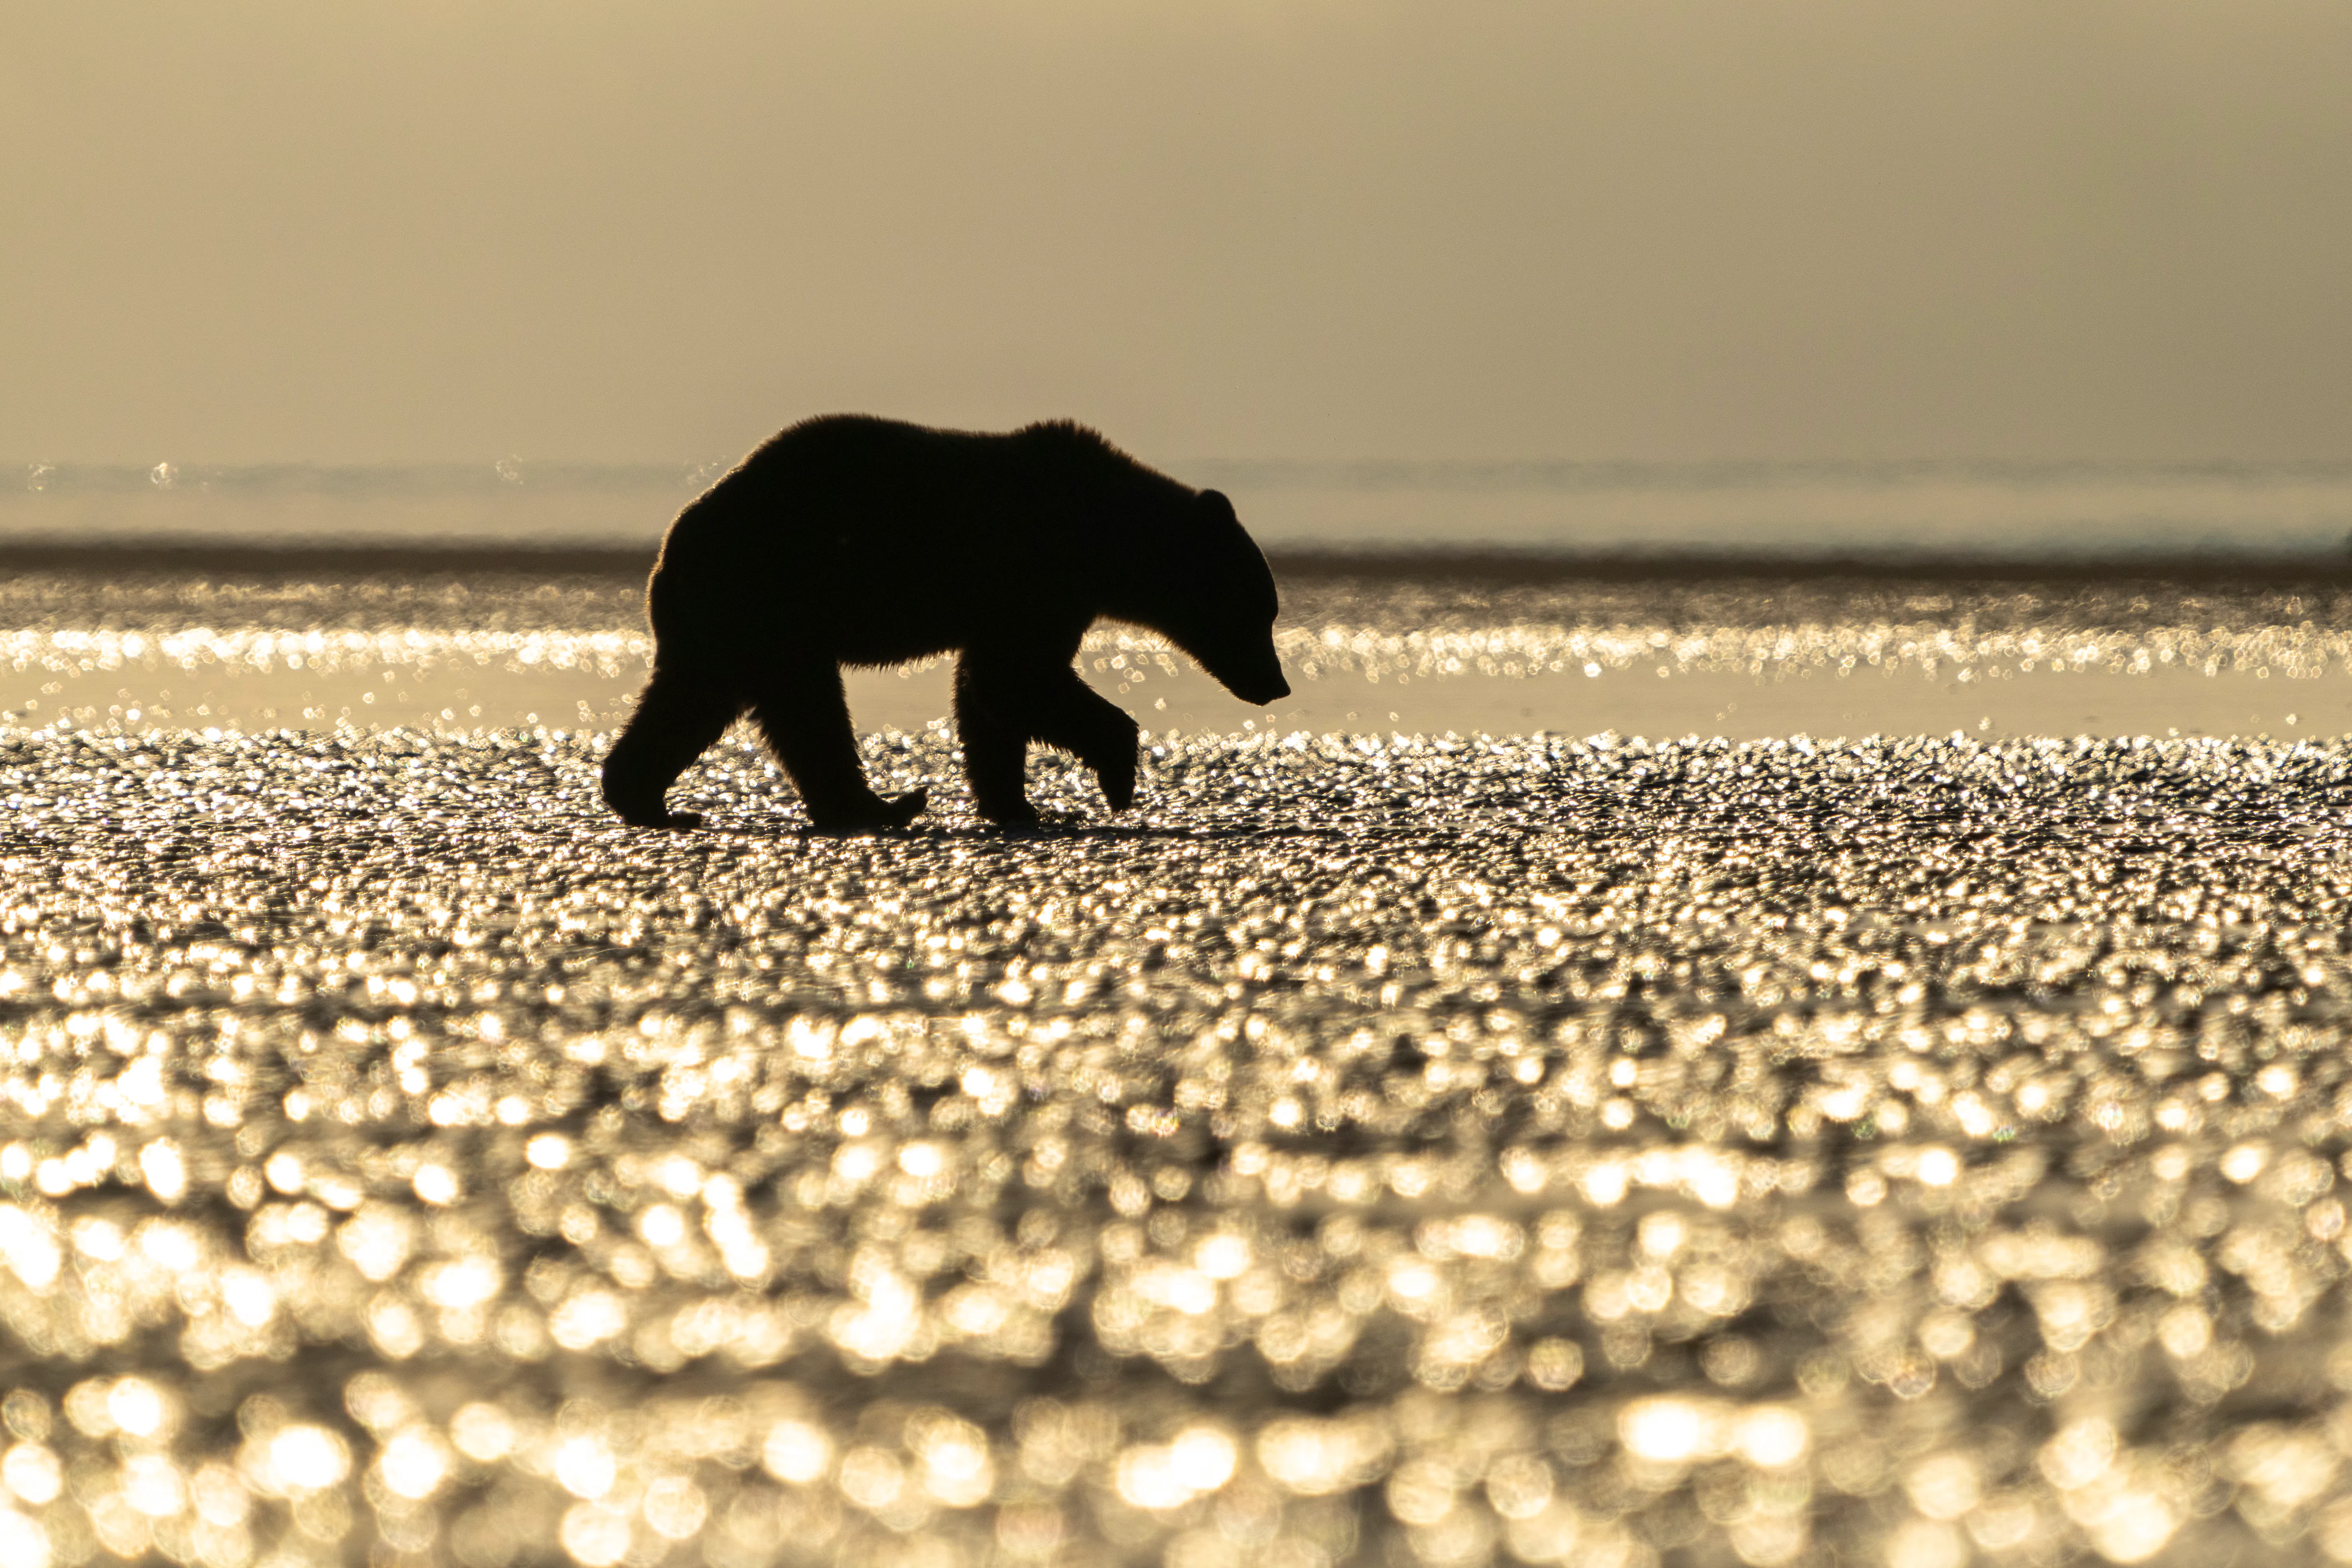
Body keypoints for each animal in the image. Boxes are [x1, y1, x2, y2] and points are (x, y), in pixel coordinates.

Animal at [599, 414, 1289, 832]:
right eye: (1259, 612)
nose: (1277, 684)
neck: (1104, 540)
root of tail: (668, 550)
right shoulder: (1036, 577)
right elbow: (1015, 680)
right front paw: (1116, 776)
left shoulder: (1020, 602)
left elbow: (988, 696)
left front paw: (1016, 802)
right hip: (770, 597)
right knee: (804, 709)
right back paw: (881, 804)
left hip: (739, 626)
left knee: (708, 701)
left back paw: (650, 796)